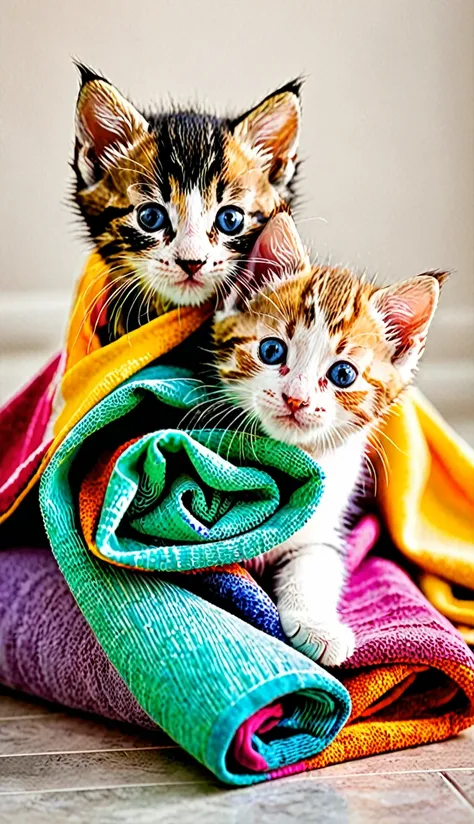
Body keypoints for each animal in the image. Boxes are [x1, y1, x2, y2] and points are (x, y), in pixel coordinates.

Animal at [213, 216, 446, 668]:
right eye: (272, 350)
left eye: (343, 374)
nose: (296, 397)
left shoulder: (323, 529)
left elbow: (313, 568)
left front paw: (317, 625)